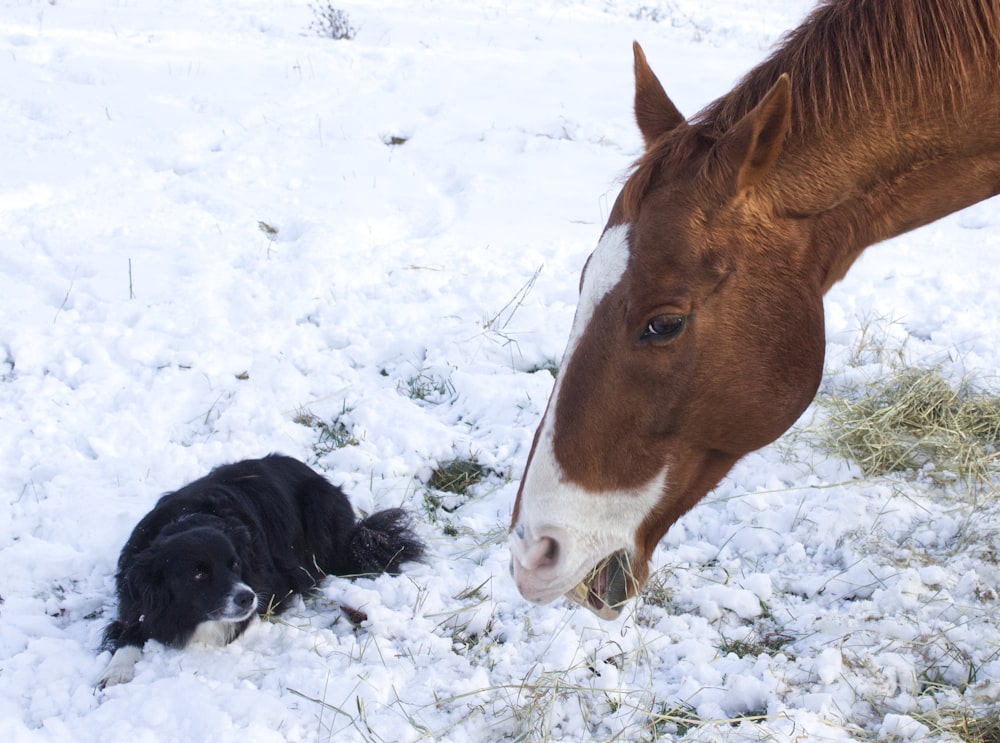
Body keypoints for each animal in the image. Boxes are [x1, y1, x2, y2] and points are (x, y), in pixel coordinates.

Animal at [101, 456, 426, 688]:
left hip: (319, 511)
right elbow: (130, 629)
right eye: (198, 574)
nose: (246, 598)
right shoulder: (135, 595)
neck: (186, 520)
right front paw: (116, 670)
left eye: (234, 564)